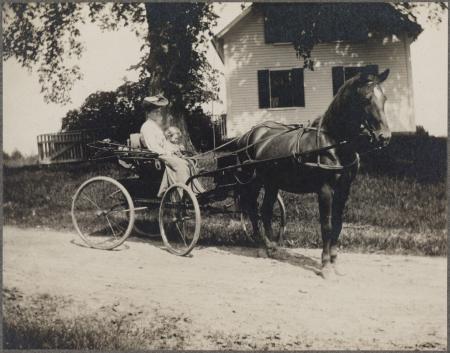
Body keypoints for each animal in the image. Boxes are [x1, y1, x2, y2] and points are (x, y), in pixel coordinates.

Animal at [232, 67, 390, 274]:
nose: (384, 137)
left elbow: (338, 224)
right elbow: (326, 225)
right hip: (254, 183)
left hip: (272, 184)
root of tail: (249, 135)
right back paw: (261, 247)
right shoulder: (324, 190)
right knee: (252, 209)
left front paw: (334, 261)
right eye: (366, 98)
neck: (333, 142)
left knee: (265, 211)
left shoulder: (344, 189)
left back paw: (272, 246)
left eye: (384, 98)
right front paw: (325, 265)